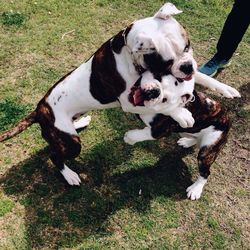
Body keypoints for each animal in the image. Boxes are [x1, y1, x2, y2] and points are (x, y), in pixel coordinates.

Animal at [0, 2, 240, 191]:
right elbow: (161, 106)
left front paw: (225, 89)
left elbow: (203, 79)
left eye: (187, 46)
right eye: (166, 63)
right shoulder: (129, 101)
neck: (128, 53)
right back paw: (69, 175)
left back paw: (80, 122)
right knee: (55, 156)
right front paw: (182, 114)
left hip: (65, 130)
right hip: (72, 145)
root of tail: (40, 108)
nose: (187, 66)